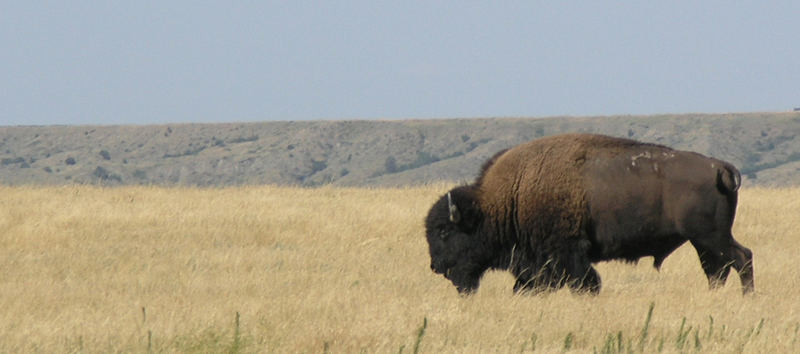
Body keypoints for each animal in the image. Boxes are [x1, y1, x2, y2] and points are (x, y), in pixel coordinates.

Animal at [428, 133, 752, 294]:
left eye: (444, 231)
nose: (435, 267)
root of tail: (719, 166)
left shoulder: (568, 252)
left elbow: (586, 283)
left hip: (711, 236)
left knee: (741, 258)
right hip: (704, 241)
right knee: (717, 269)